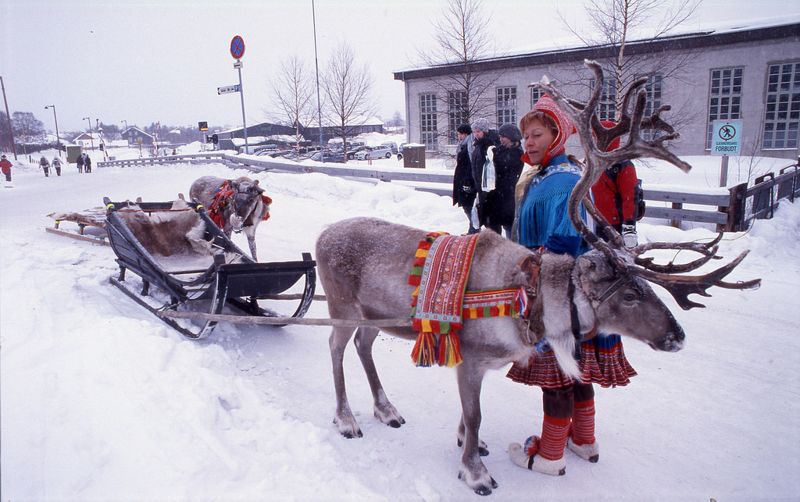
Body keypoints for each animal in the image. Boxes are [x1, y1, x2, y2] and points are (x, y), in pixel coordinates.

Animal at [313, 61, 760, 496]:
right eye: (631, 293)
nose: (677, 336)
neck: (527, 300)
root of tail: (320, 235)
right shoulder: (470, 358)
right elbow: (475, 415)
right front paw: (475, 473)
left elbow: (471, 417)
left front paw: (470, 445)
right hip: (341, 305)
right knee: (335, 346)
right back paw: (346, 419)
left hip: (372, 314)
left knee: (362, 345)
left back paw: (386, 409)